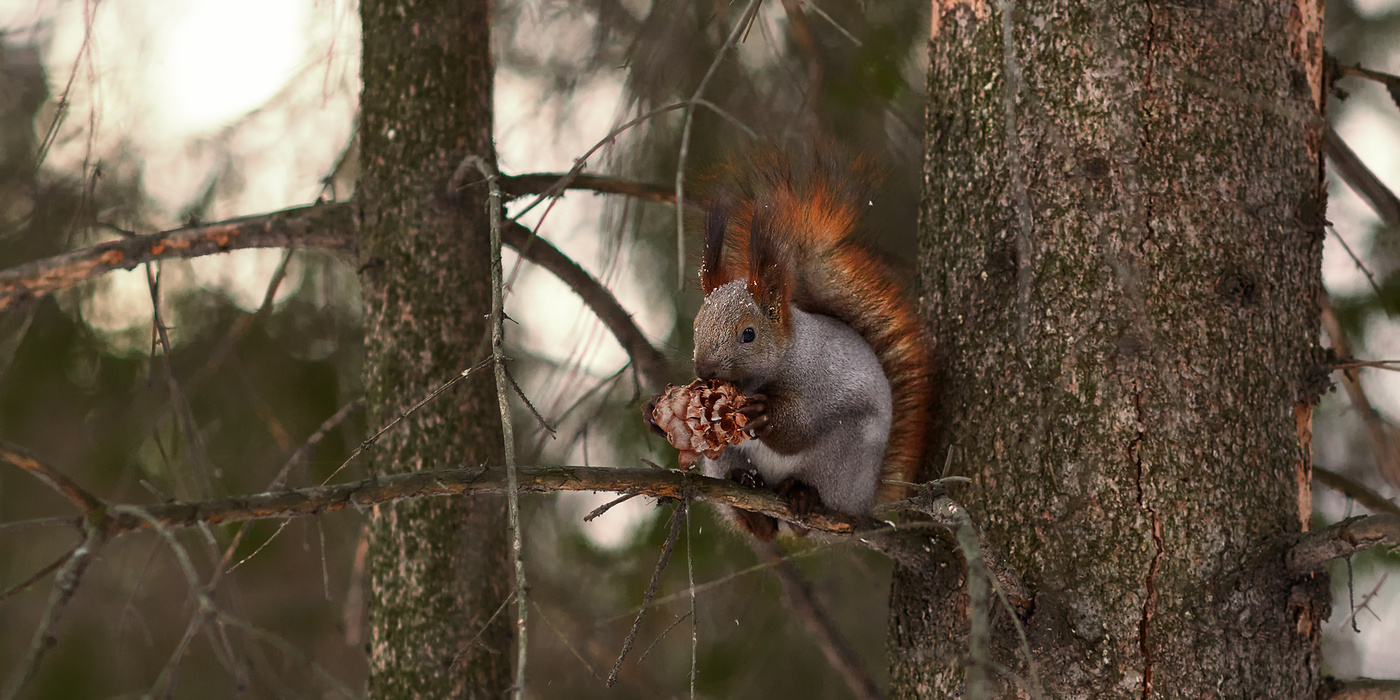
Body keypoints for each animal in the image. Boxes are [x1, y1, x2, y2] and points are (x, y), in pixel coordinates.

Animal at [666, 150, 929, 537]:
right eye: (697, 325)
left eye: (748, 334)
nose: (704, 370)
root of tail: (864, 500)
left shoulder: (822, 380)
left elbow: (800, 429)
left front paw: (766, 415)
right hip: (724, 459)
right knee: (759, 524)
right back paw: (748, 496)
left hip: (843, 456)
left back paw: (802, 495)